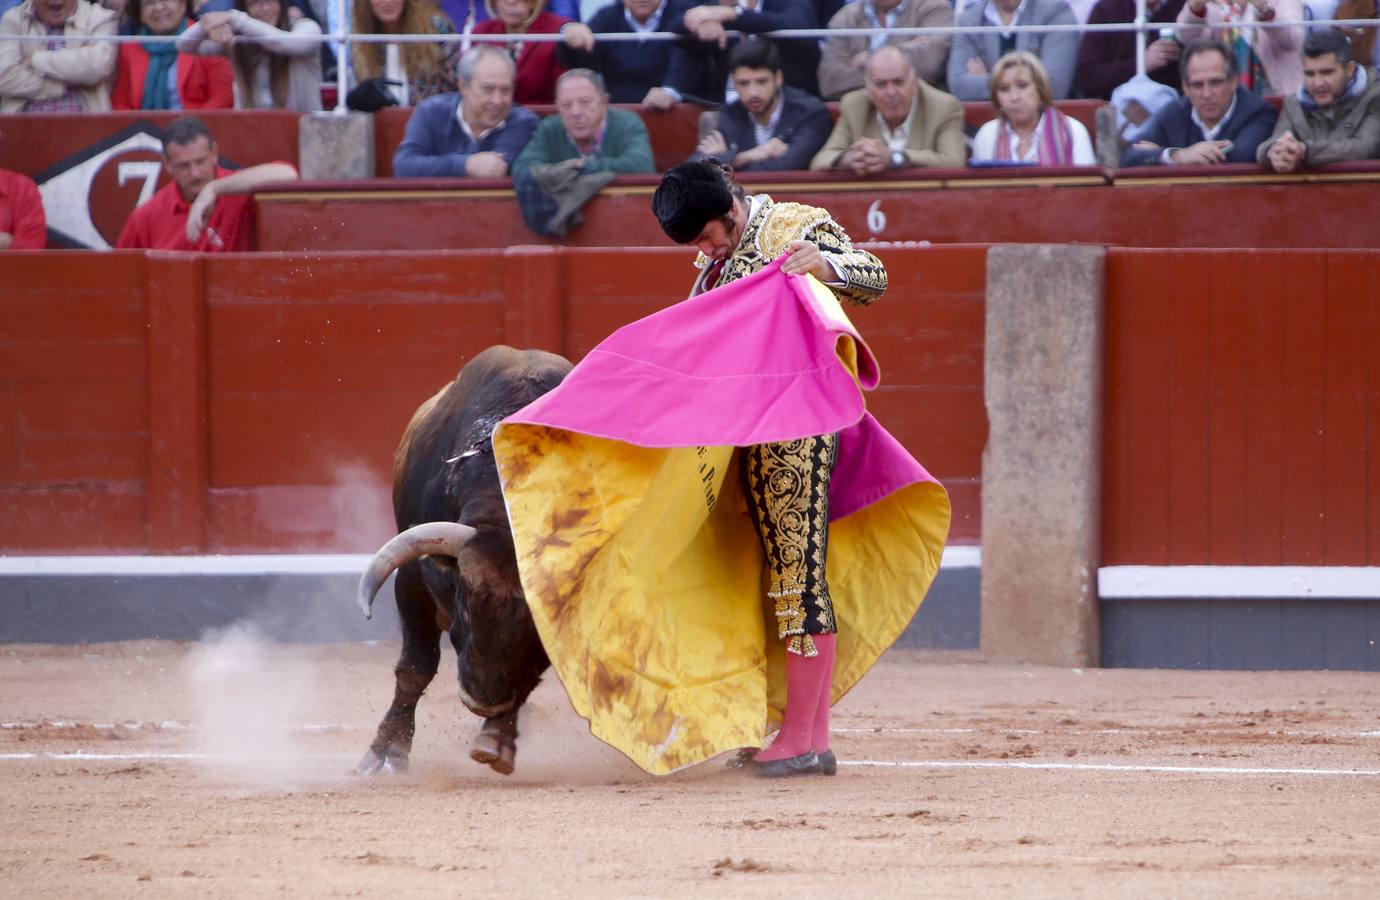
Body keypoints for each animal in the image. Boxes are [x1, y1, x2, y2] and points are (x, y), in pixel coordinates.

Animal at [358, 345, 574, 773]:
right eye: (467, 608)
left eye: (536, 627)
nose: (482, 703)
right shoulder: (412, 580)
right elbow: (415, 668)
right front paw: (386, 752)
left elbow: (526, 675)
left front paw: (496, 739)